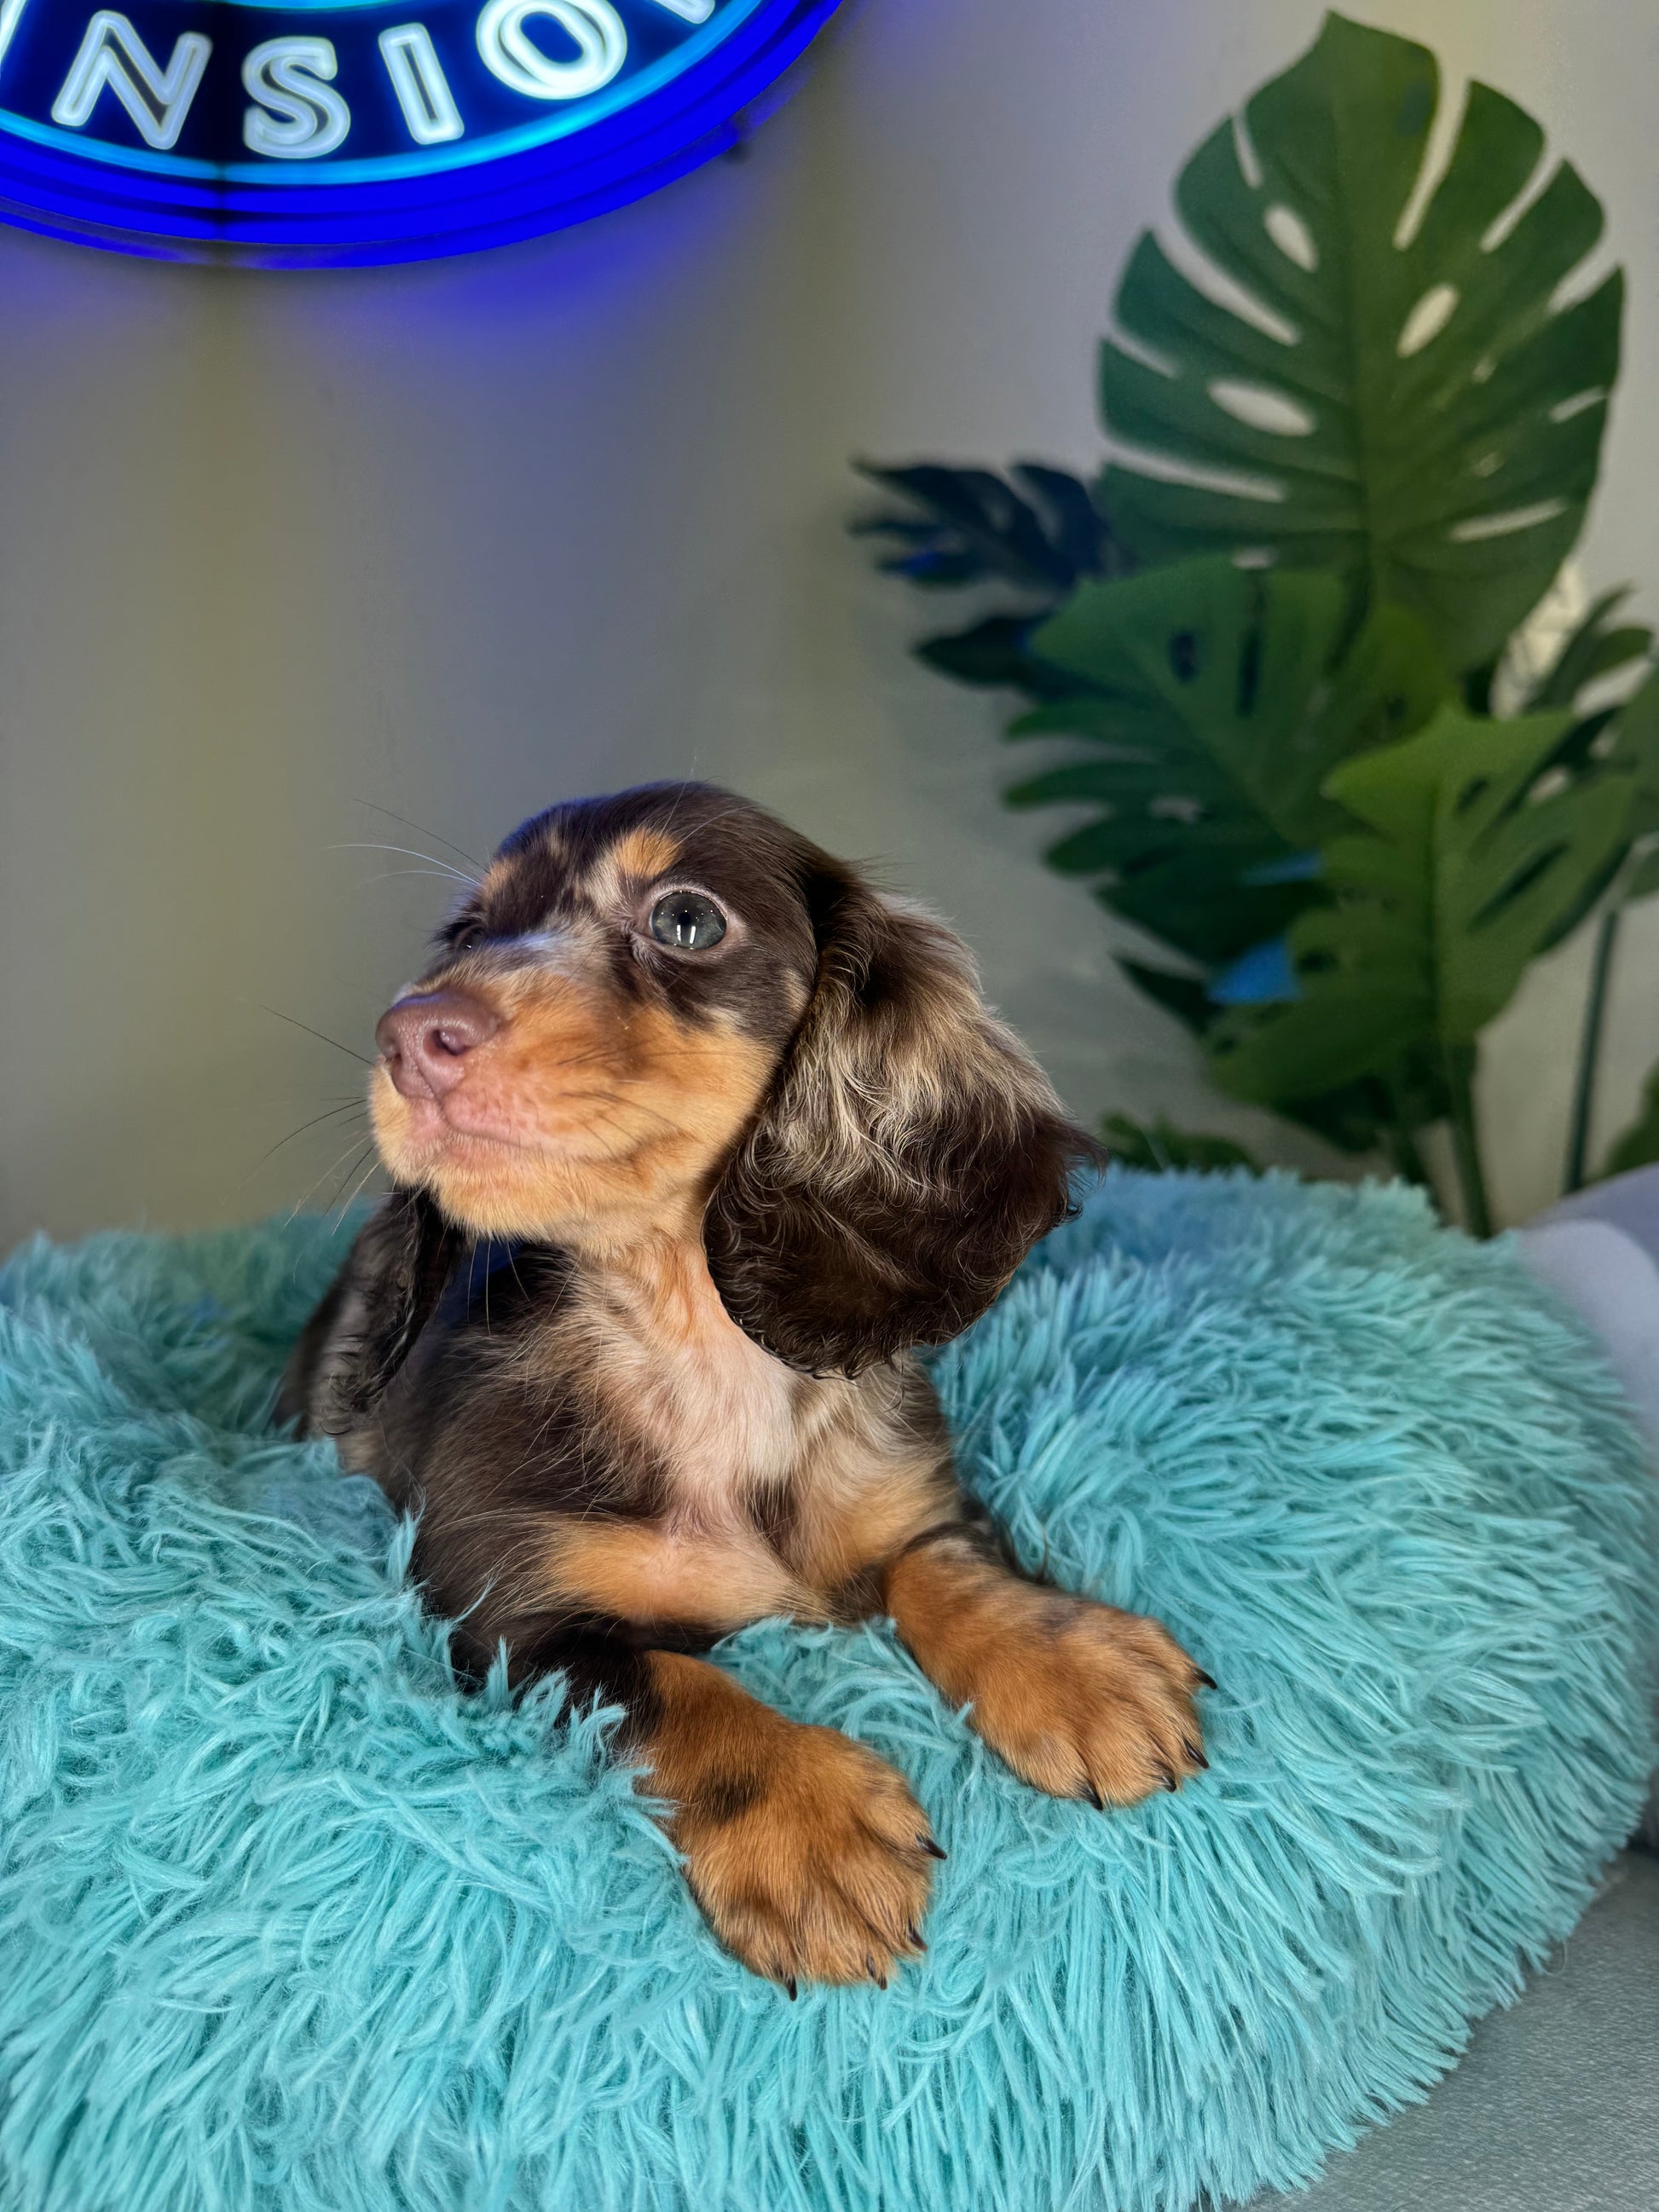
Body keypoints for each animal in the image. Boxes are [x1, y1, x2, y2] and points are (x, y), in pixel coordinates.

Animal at [289, 792, 1211, 1990]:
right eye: (469, 934)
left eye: (685, 920)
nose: (409, 1036)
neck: (695, 1349)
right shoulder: (503, 1611)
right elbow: (671, 1684)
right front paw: (805, 1827)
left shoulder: (901, 1495)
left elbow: (944, 1565)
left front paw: (1072, 1660)